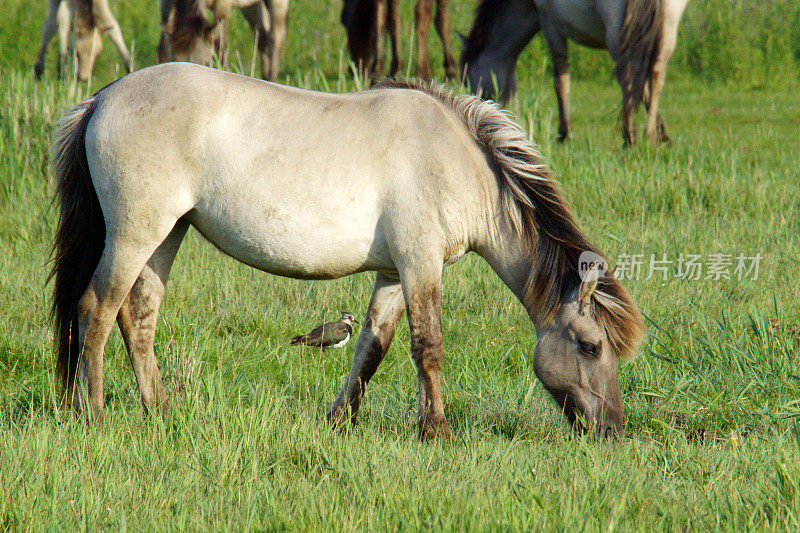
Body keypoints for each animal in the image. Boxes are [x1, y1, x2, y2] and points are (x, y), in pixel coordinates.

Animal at [51, 62, 644, 438]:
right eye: (591, 346)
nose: (612, 431)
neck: (458, 159)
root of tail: (104, 97)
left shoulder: (393, 273)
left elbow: (371, 349)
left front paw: (340, 422)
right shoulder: (420, 263)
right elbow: (428, 347)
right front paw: (438, 431)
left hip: (167, 233)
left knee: (138, 316)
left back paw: (159, 411)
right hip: (136, 231)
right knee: (96, 310)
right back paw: (93, 414)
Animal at [158, 0, 290, 80]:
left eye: (207, 63)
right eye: (173, 61)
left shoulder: (222, 6)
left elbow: (221, 45)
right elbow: (163, 45)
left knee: (276, 38)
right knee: (262, 38)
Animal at [460, 0, 692, 144]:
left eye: (468, 80)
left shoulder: (550, 25)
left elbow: (561, 81)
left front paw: (565, 133)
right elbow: (643, 89)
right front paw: (662, 133)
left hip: (618, 32)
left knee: (627, 75)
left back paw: (629, 135)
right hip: (666, 27)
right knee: (655, 75)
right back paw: (650, 134)